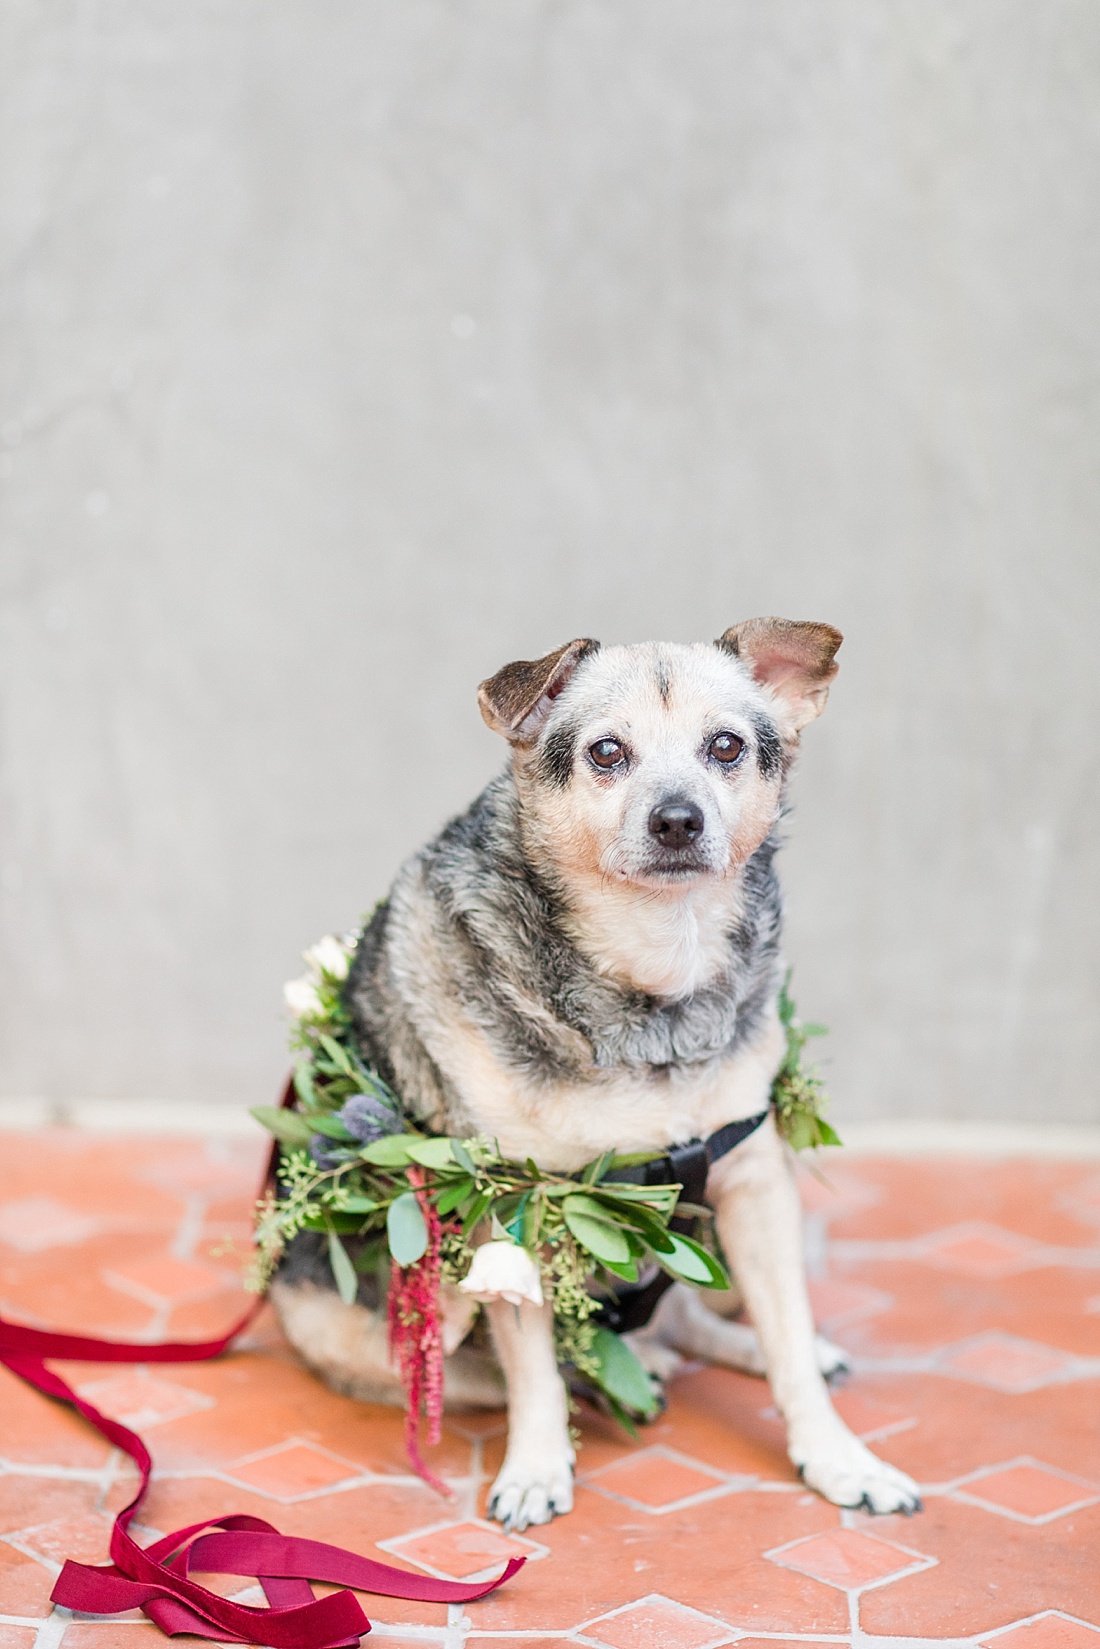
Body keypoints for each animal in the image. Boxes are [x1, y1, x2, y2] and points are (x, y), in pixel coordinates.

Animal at [270, 623, 923, 1523]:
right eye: (606, 752)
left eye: (727, 746)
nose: (678, 818)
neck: (653, 978)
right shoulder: (511, 1208)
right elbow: (534, 1370)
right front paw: (536, 1468)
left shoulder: (755, 1180)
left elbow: (788, 1335)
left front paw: (836, 1456)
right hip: (384, 1325)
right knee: (517, 1366)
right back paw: (636, 1368)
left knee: (694, 1312)